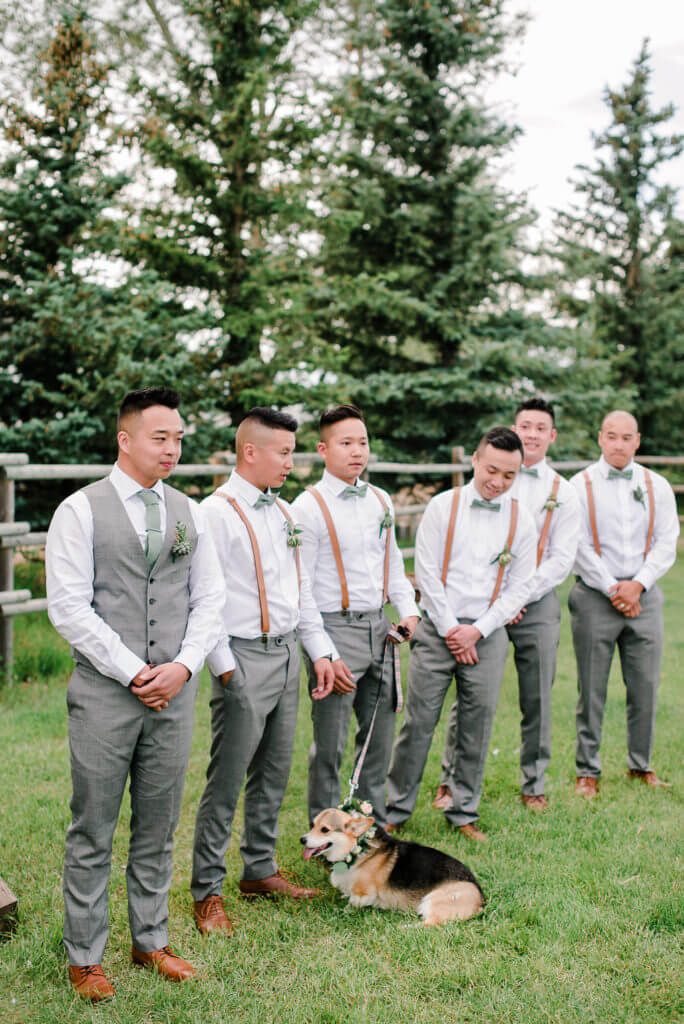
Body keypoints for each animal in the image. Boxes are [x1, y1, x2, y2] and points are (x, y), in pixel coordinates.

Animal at [301, 806, 483, 929]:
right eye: (312, 825)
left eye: (324, 829)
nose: (302, 840)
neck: (356, 848)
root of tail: (481, 899)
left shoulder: (363, 893)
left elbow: (351, 903)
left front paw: (342, 910)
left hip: (431, 900)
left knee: (431, 923)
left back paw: (404, 927)